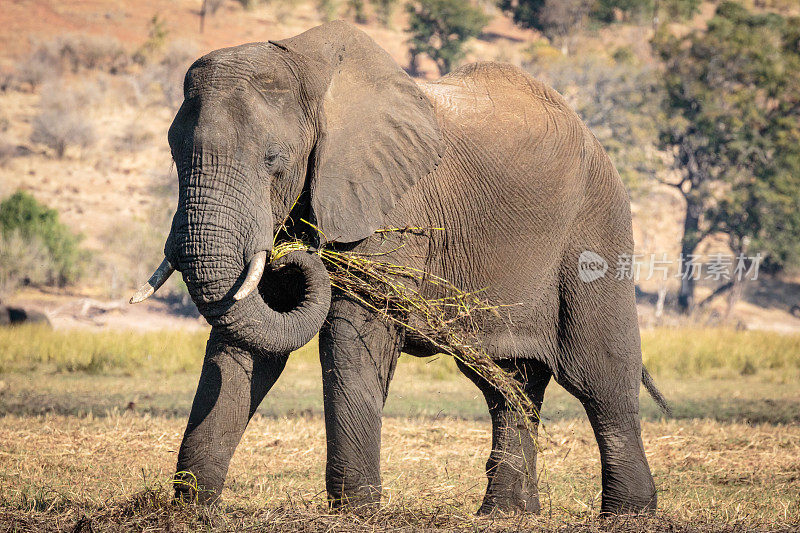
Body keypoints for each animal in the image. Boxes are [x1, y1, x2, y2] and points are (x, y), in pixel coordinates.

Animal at [133, 21, 668, 516]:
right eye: (175, 155)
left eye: (274, 161)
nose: (291, 254)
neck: (309, 71)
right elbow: (249, 336)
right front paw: (190, 509)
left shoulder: (390, 203)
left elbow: (353, 334)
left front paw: (356, 512)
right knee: (509, 384)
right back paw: (506, 513)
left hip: (595, 226)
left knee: (600, 378)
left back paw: (628, 514)